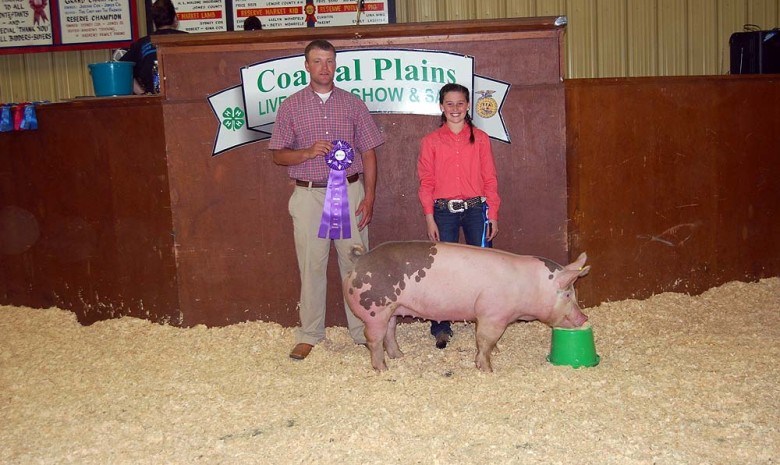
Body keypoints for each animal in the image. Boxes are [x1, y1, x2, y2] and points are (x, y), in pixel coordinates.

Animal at [342, 241, 592, 372]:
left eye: (574, 293)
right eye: (567, 294)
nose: (584, 318)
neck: (530, 286)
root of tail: (359, 260)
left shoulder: (485, 315)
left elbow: (488, 340)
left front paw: (497, 352)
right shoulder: (493, 314)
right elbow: (485, 340)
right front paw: (487, 369)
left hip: (392, 309)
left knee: (390, 333)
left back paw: (399, 356)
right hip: (375, 309)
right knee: (374, 339)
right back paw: (382, 369)